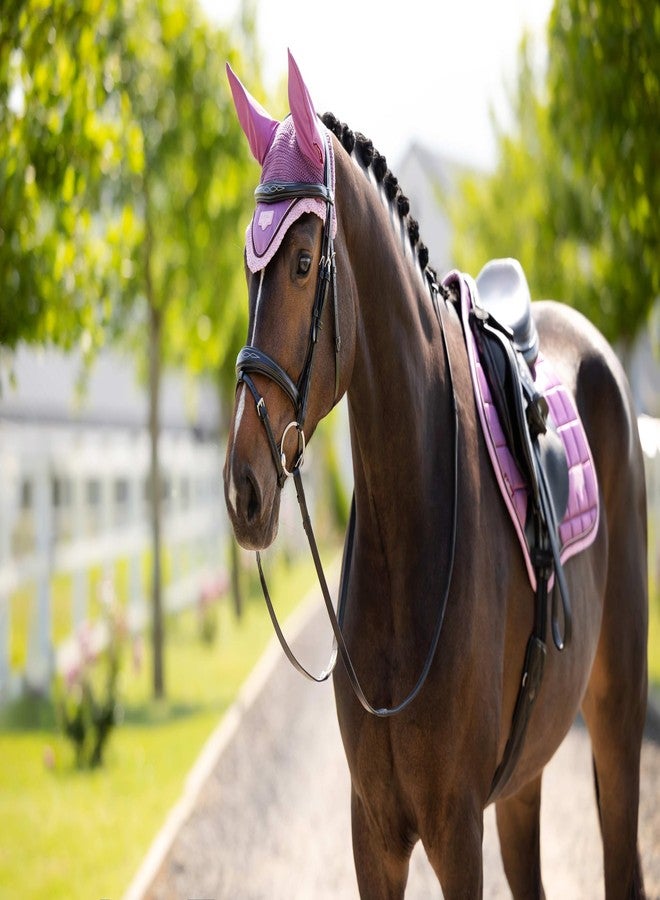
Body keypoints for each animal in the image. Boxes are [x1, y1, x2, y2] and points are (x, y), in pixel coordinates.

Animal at [223, 52, 648, 898]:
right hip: (522, 781)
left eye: (302, 262)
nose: (243, 488)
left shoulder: (456, 831)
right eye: (246, 273)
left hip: (614, 726)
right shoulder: (375, 835)